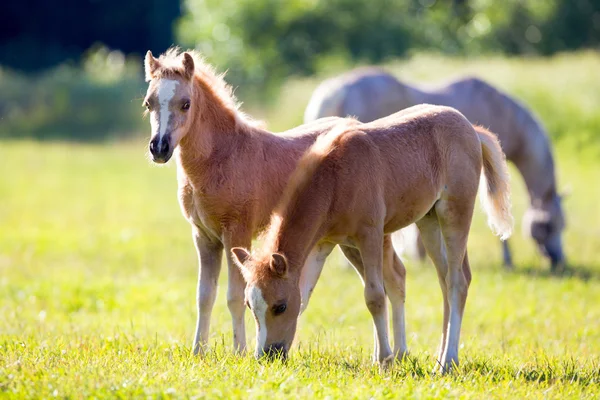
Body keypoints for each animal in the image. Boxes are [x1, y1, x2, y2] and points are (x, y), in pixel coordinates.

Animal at [230, 105, 510, 372]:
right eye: (250, 306)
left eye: (280, 306)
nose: (267, 355)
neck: (336, 179)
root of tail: (471, 129)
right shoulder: (332, 244)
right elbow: (307, 295)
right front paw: (381, 357)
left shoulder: (371, 234)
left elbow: (374, 296)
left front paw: (385, 360)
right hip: (429, 220)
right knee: (444, 279)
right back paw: (441, 358)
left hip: (455, 212)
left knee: (456, 281)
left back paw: (448, 362)